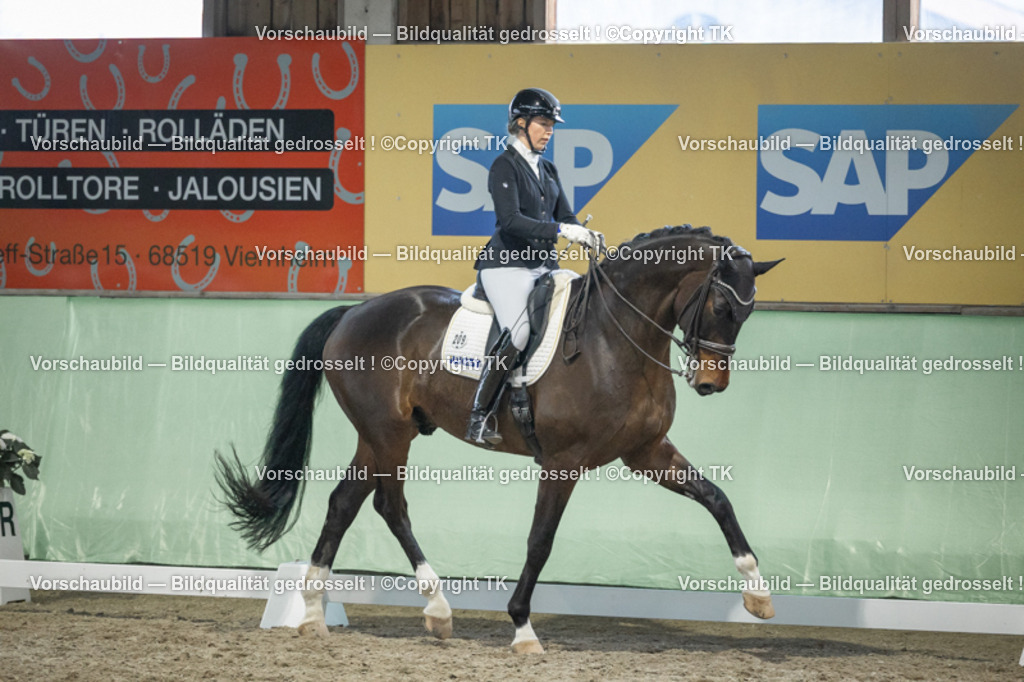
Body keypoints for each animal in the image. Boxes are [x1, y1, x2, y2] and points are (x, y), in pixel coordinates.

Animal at [215, 225, 782, 654]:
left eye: (748, 312)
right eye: (722, 307)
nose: (710, 383)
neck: (614, 337)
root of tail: (354, 311)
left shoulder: (646, 453)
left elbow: (717, 499)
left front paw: (757, 595)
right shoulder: (562, 461)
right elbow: (540, 540)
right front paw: (523, 628)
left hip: (376, 437)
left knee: (344, 503)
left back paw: (314, 614)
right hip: (389, 434)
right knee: (390, 505)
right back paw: (437, 607)